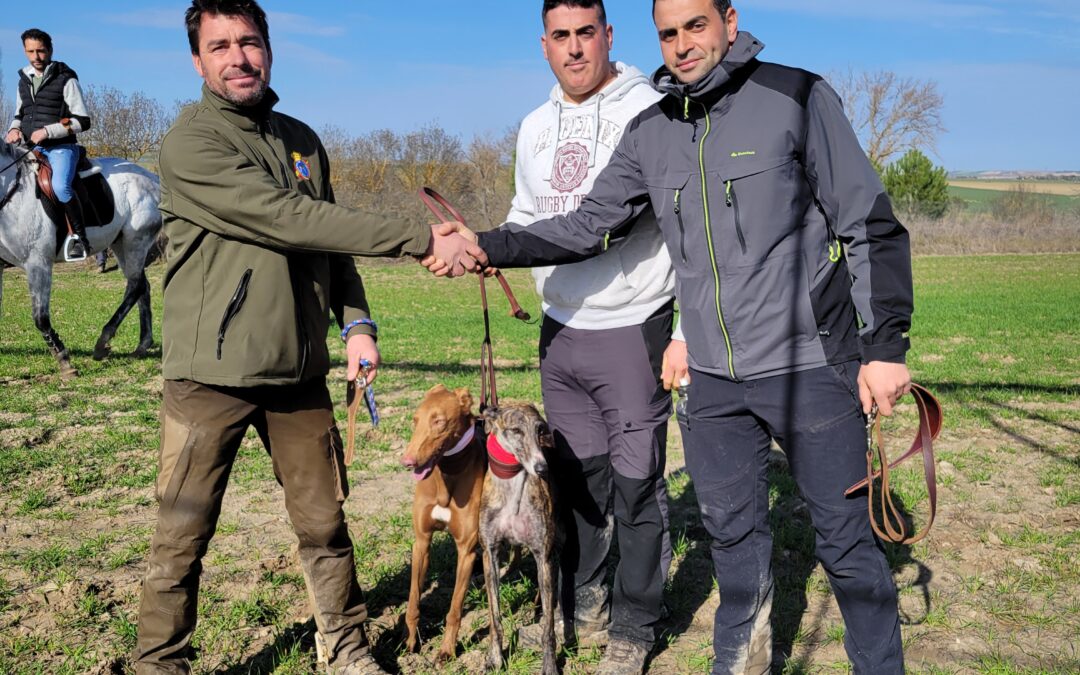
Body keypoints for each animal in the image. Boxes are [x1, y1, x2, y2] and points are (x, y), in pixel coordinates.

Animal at [0, 142, 162, 375]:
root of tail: (152, 179)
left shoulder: (38, 263)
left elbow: (41, 318)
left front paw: (64, 360)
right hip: (121, 244)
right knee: (142, 286)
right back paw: (142, 345)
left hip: (136, 243)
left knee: (136, 286)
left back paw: (103, 341)